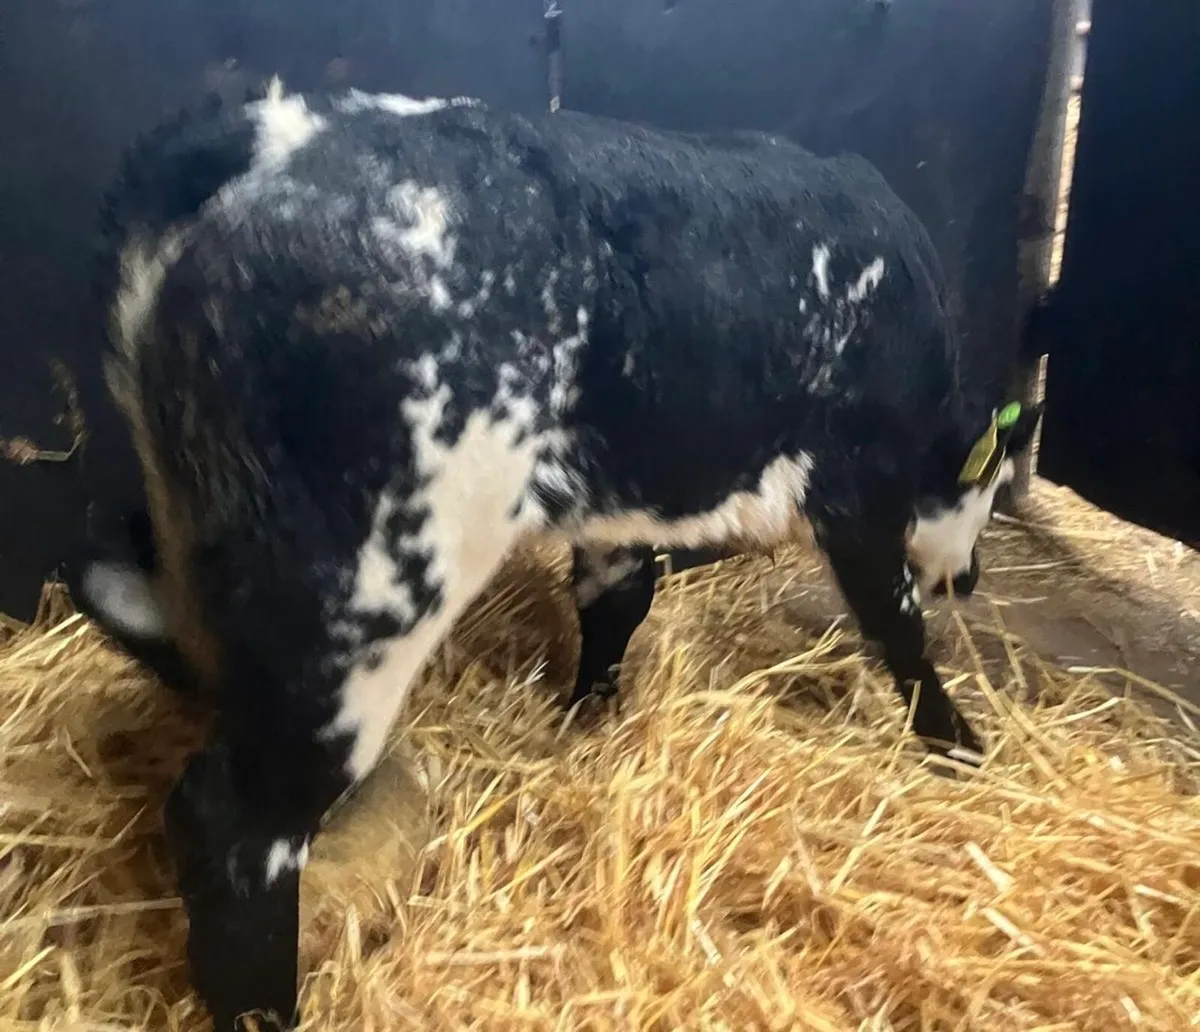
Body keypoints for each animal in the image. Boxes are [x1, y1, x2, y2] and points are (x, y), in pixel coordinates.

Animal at [65, 79, 1041, 1030]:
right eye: (992, 489)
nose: (972, 577)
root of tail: (272, 137)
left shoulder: (616, 510)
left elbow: (616, 599)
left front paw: (591, 719)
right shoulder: (858, 483)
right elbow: (896, 625)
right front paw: (959, 743)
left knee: (127, 605)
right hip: (360, 593)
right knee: (235, 824)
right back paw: (266, 1008)